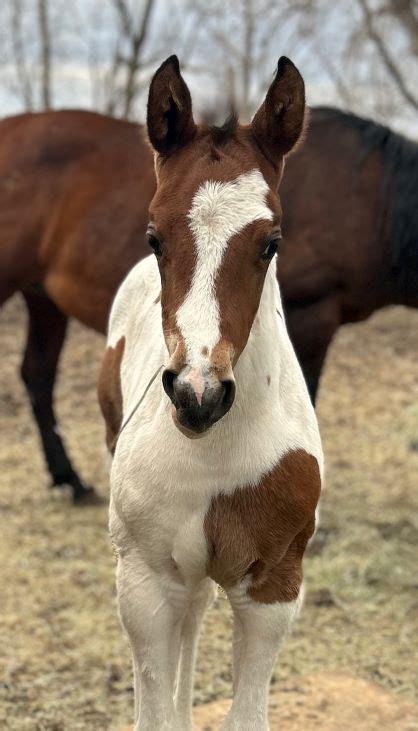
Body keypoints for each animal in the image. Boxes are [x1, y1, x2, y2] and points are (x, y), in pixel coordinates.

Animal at [1, 98, 416, 504]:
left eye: (270, 245)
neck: (370, 200)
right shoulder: (311, 318)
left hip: (43, 300)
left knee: (37, 375)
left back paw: (67, 479)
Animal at [99, 55, 324, 731]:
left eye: (271, 242)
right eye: (154, 236)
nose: (198, 395)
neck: (216, 453)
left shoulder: (274, 586)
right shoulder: (144, 583)